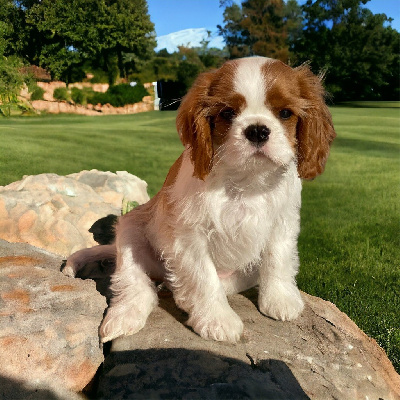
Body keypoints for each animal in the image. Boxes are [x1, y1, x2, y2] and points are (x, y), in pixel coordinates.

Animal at [64, 57, 336, 344]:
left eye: (285, 113)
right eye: (227, 113)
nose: (258, 130)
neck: (245, 180)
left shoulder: (283, 222)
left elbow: (278, 259)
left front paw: (280, 299)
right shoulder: (189, 236)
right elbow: (204, 278)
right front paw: (217, 319)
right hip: (130, 231)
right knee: (134, 282)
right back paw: (125, 316)